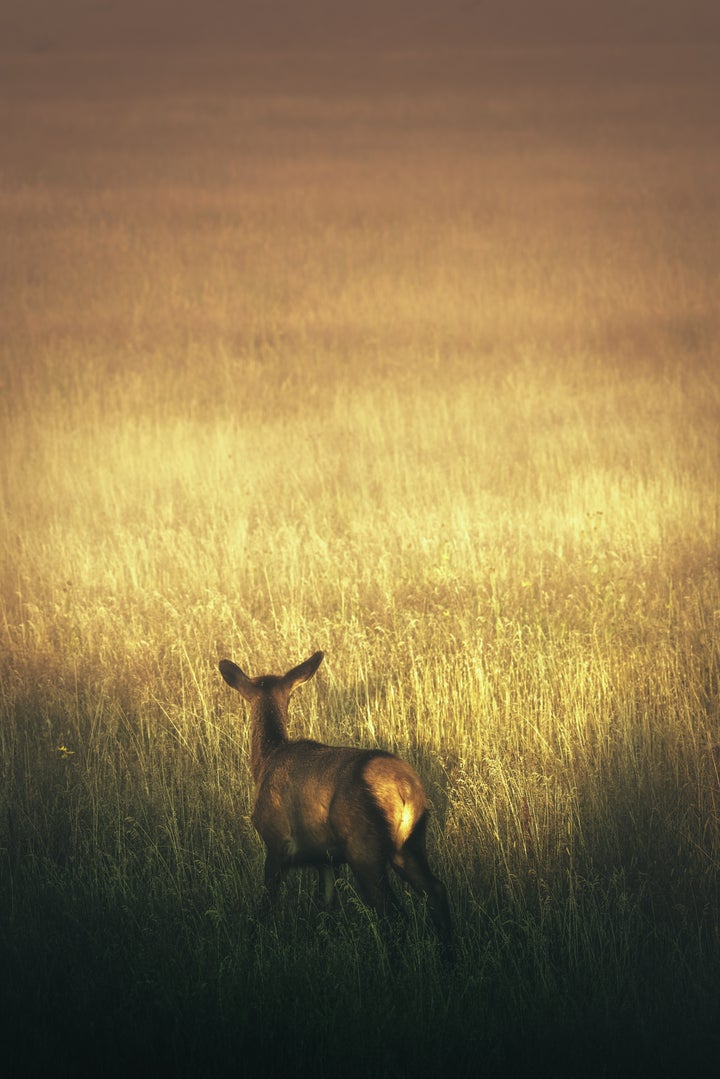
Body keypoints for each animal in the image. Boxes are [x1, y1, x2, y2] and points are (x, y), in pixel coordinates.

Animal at [216, 651, 453, 958]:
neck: (265, 763)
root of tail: (404, 788)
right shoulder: (325, 860)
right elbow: (325, 909)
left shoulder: (276, 842)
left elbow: (265, 906)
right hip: (410, 843)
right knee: (436, 890)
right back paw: (449, 958)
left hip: (363, 846)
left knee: (393, 914)